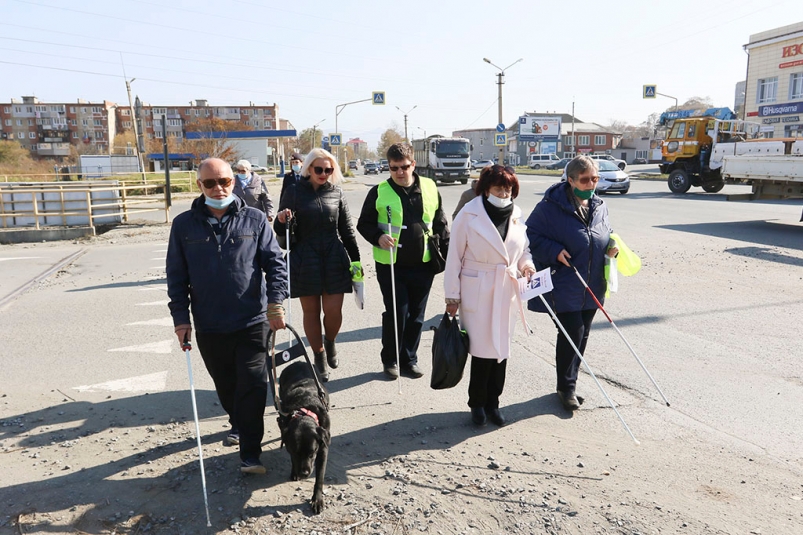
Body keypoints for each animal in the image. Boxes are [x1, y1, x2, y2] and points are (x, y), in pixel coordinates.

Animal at [274, 360, 328, 516]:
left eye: (312, 453)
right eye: (295, 452)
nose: (304, 474)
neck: (304, 411)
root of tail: (298, 362)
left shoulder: (323, 448)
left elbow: (320, 477)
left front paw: (317, 500)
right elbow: (292, 459)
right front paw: (294, 472)